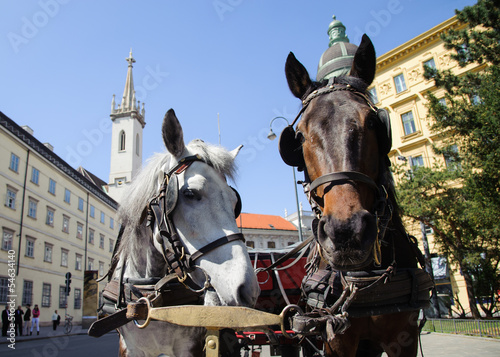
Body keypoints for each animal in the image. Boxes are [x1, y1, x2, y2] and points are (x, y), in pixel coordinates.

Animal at [114, 109, 260, 356]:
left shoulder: (188, 346)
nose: (248, 290)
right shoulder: (129, 347)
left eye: (235, 202)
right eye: (190, 193)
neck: (150, 298)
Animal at [282, 34, 434, 356]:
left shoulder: (405, 336)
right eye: (298, 136)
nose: (346, 231)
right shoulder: (336, 340)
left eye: (374, 123)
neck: (364, 280)